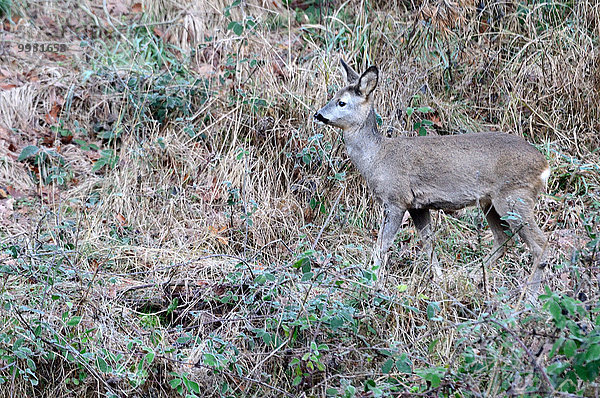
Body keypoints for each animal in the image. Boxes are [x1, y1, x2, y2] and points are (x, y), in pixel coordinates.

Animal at [312, 59, 552, 290]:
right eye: (332, 96)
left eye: (342, 102)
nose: (318, 114)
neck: (377, 157)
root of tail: (545, 166)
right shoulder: (418, 206)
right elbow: (428, 243)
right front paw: (439, 279)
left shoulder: (396, 199)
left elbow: (382, 245)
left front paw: (373, 284)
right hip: (490, 202)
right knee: (504, 238)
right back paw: (471, 276)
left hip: (514, 197)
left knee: (540, 244)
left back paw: (529, 296)